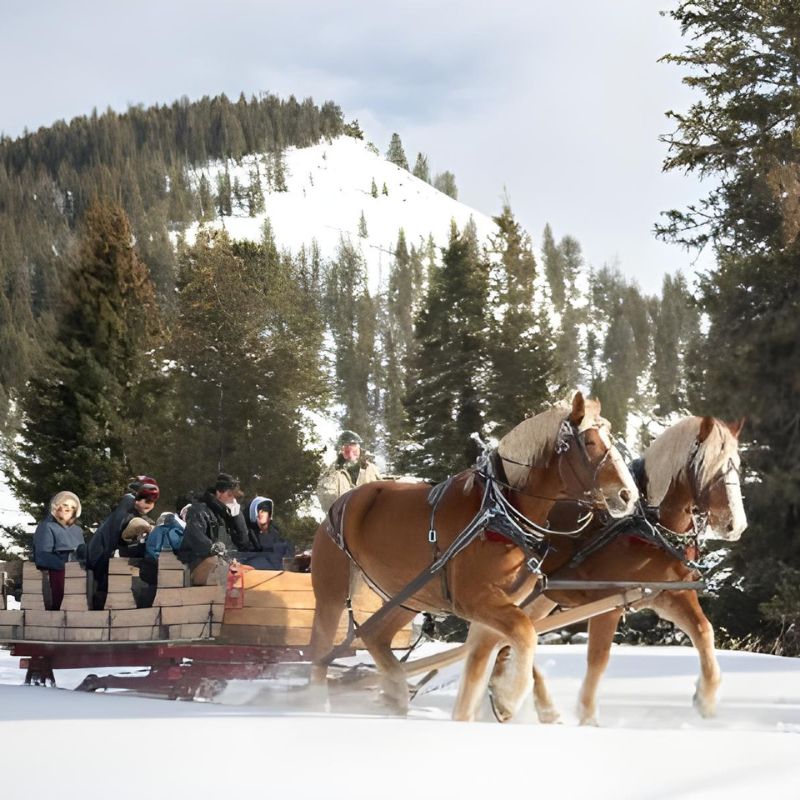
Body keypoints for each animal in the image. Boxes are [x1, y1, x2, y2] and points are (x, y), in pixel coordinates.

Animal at [306, 396, 636, 720]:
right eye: (589, 442)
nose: (627, 495)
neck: (500, 510)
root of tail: (340, 503)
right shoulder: (475, 599)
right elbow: (524, 634)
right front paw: (508, 698)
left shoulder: (499, 604)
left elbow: (488, 653)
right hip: (332, 592)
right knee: (321, 648)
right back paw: (317, 703)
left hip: (408, 596)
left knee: (374, 636)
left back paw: (395, 694)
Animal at [460, 412, 748, 724]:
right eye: (707, 465)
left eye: (737, 465)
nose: (735, 525)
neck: (647, 525)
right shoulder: (609, 601)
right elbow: (598, 659)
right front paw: (588, 717)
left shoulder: (670, 594)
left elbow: (704, 631)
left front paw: (706, 700)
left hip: (539, 597)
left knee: (506, 637)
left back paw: (513, 698)